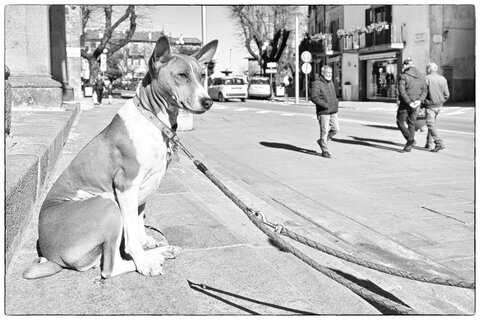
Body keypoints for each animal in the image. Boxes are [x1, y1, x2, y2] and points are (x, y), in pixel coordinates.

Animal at [22, 36, 218, 278]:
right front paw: (143, 261)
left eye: (202, 76)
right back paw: (152, 260)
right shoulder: (126, 184)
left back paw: (163, 251)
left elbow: (138, 221)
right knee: (110, 267)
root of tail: (51, 255)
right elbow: (131, 237)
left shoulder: (143, 188)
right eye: (182, 75)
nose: (208, 101)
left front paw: (147, 243)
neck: (153, 120)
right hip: (107, 205)